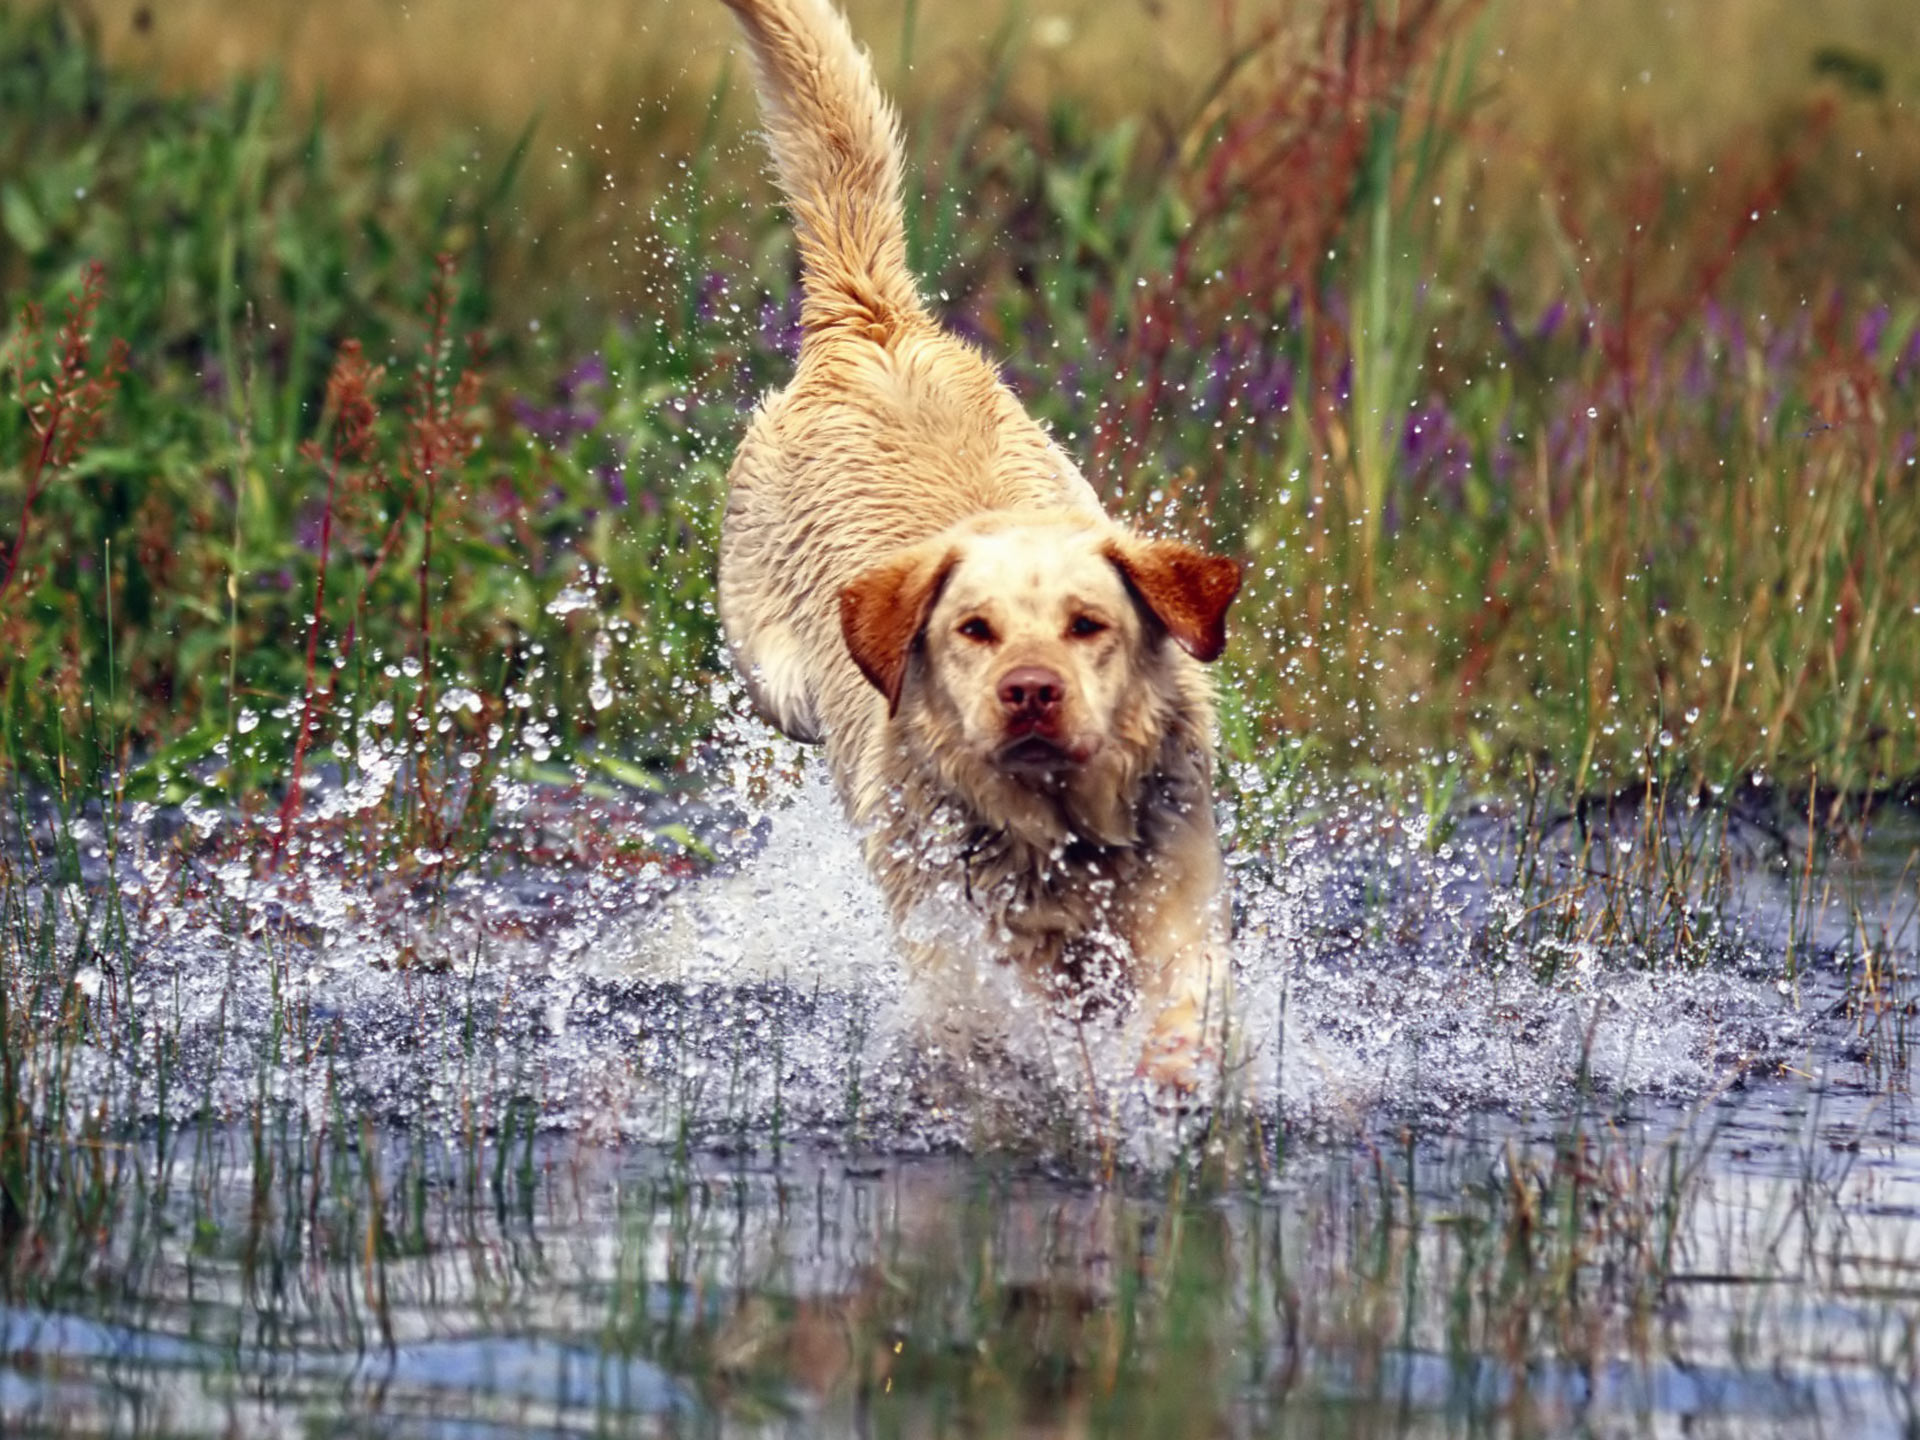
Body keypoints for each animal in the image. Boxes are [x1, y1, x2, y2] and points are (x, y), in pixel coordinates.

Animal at [714, 0, 1236, 1090]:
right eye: (972, 630)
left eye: (1088, 626)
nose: (1029, 693)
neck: (1061, 831)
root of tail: (872, 325)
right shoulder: (959, 946)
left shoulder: (1181, 890)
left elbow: (1185, 999)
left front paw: (1172, 1078)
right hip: (772, 674)